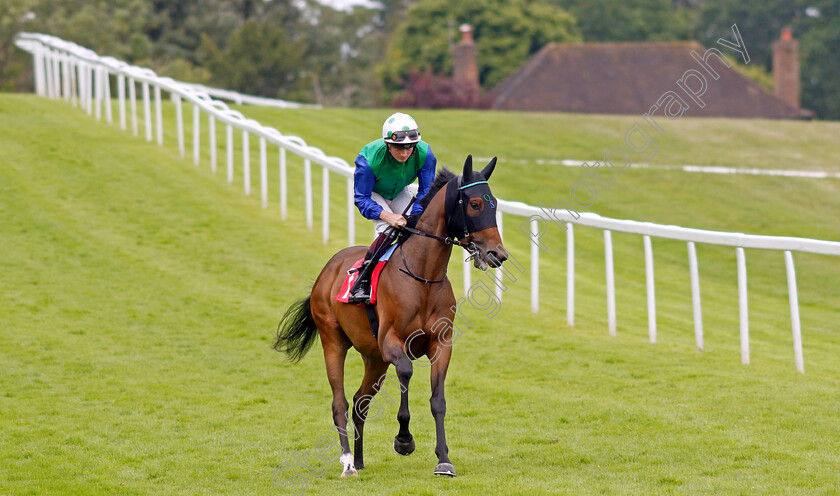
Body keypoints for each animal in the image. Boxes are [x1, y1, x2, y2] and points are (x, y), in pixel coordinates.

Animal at [274, 154, 506, 476]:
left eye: (494, 203)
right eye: (474, 204)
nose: (498, 254)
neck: (422, 276)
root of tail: (328, 269)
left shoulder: (441, 344)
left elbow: (438, 400)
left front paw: (444, 459)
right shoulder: (391, 341)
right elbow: (406, 371)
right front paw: (404, 440)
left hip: (374, 358)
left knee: (360, 402)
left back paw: (359, 459)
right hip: (333, 340)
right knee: (339, 402)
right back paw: (347, 462)